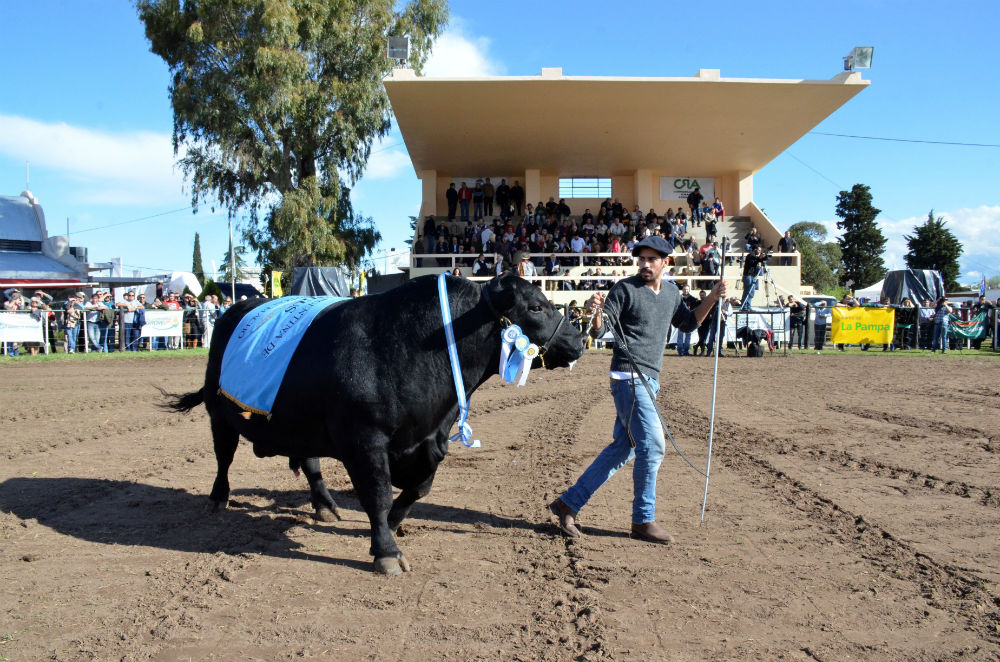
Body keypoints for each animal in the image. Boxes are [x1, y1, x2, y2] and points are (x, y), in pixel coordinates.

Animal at [164, 274, 584, 576]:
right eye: (536, 306)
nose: (579, 338)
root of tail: (237, 308)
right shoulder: (364, 440)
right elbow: (377, 495)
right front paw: (386, 551)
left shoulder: (431, 441)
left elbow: (419, 488)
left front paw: (395, 523)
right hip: (219, 414)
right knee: (224, 457)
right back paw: (218, 499)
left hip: (302, 424)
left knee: (310, 462)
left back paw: (325, 505)